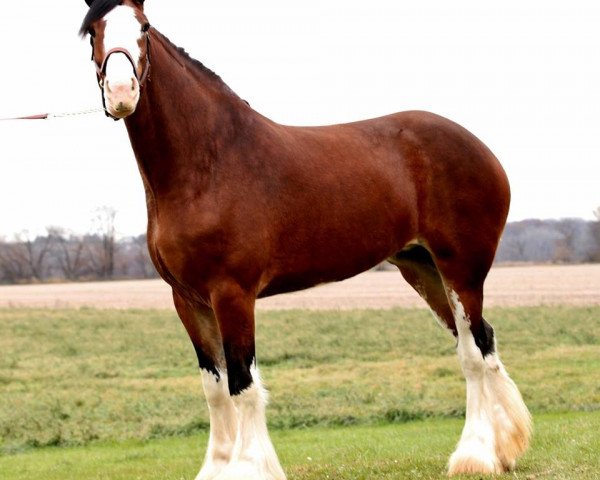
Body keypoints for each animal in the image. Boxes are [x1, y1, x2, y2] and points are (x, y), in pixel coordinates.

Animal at [78, 1, 528, 478]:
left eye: (144, 28)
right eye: (93, 32)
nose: (122, 92)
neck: (207, 164)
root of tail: (482, 150)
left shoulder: (232, 293)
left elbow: (243, 384)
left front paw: (249, 467)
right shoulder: (188, 300)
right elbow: (215, 389)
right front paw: (218, 467)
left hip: (461, 269)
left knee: (473, 354)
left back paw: (474, 456)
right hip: (423, 268)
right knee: (481, 340)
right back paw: (501, 450)